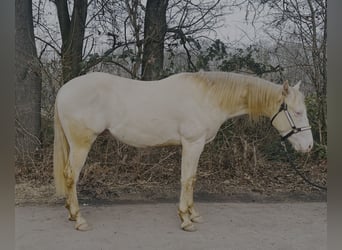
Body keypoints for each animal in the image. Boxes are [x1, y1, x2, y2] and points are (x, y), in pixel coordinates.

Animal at [53, 70, 312, 230]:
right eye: (298, 112)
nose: (308, 146)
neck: (208, 97)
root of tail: (63, 90)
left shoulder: (195, 146)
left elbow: (193, 179)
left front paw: (193, 213)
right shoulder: (192, 143)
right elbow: (187, 179)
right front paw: (186, 220)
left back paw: (71, 214)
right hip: (81, 144)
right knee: (71, 176)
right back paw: (79, 219)